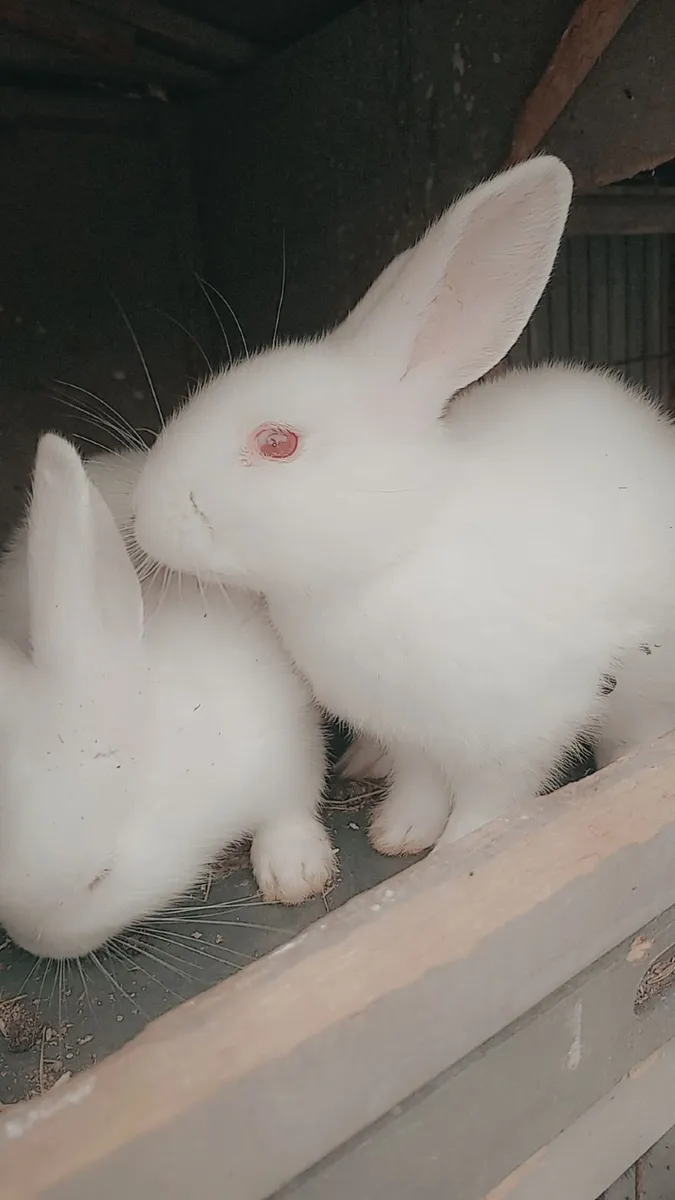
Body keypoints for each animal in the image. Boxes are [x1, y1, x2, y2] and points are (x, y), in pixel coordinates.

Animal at [131, 154, 675, 855]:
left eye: (278, 443)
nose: (143, 518)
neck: (398, 547)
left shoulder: (521, 729)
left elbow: (491, 803)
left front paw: (458, 849)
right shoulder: (411, 734)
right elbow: (421, 781)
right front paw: (400, 832)